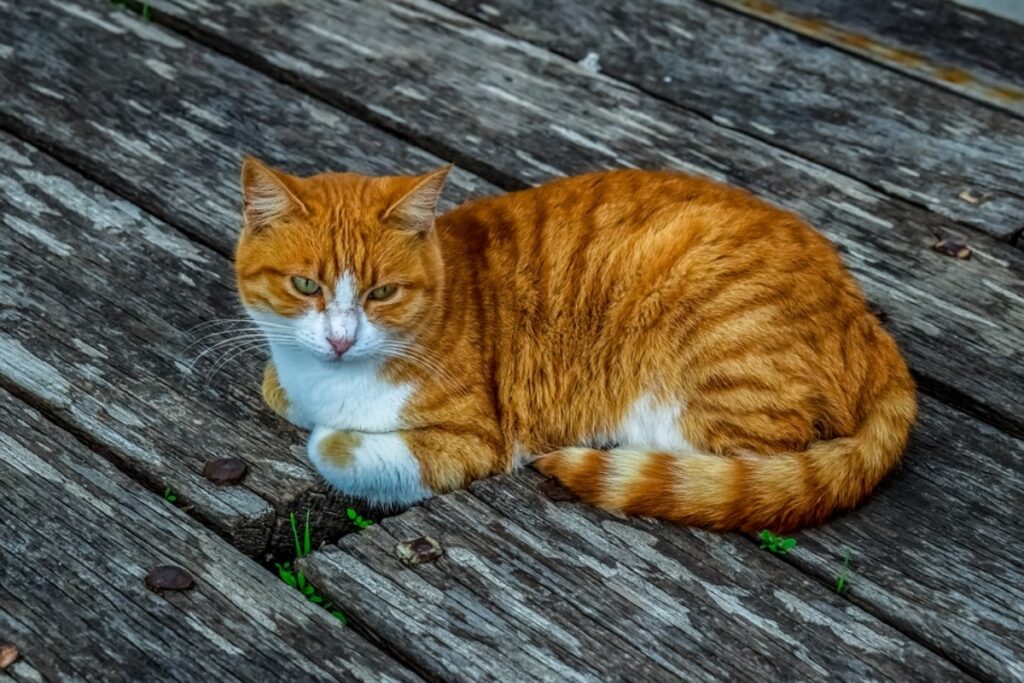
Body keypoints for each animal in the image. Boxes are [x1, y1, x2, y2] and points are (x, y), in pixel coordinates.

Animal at [235, 158, 917, 532]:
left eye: (382, 293)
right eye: (305, 285)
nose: (341, 339)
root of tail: (863, 315)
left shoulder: (476, 438)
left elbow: (334, 448)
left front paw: (333, 434)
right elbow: (276, 386)